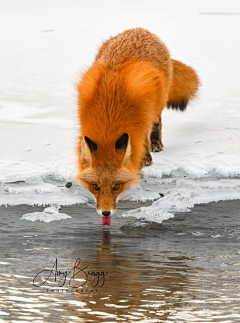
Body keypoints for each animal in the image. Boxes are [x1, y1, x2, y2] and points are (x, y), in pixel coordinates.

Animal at [75, 27, 199, 225]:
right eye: (95, 186)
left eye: (117, 186)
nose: (105, 212)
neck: (109, 116)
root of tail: (140, 29)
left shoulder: (143, 121)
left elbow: (143, 140)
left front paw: (144, 160)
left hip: (157, 105)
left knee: (157, 124)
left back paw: (154, 146)